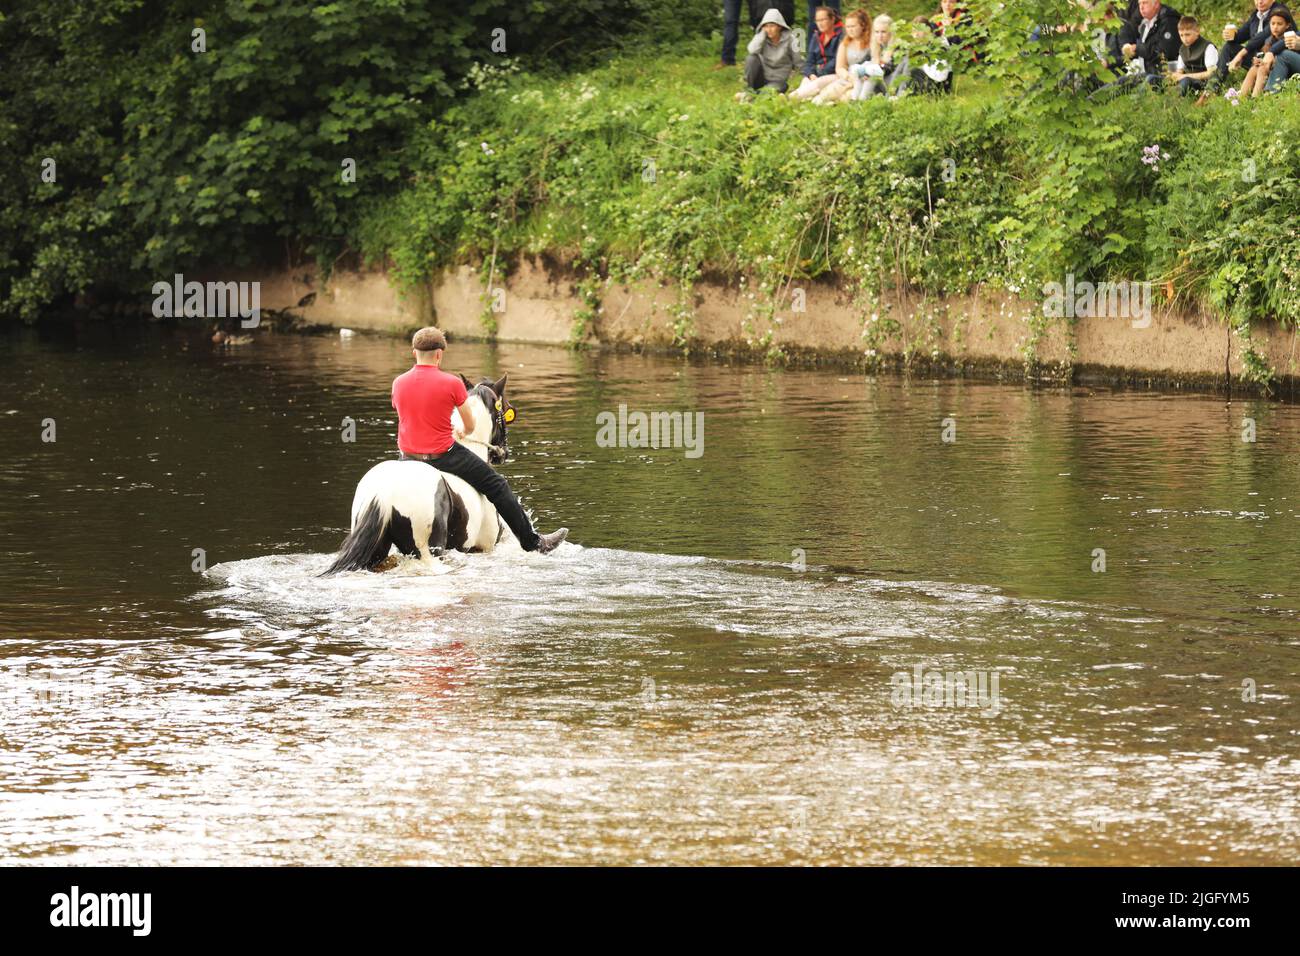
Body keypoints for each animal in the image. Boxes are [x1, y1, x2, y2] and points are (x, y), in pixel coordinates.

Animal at [319, 369, 517, 572]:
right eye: (507, 411)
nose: (504, 453)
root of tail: (382, 495)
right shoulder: (484, 548)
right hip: (428, 551)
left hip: (376, 552)